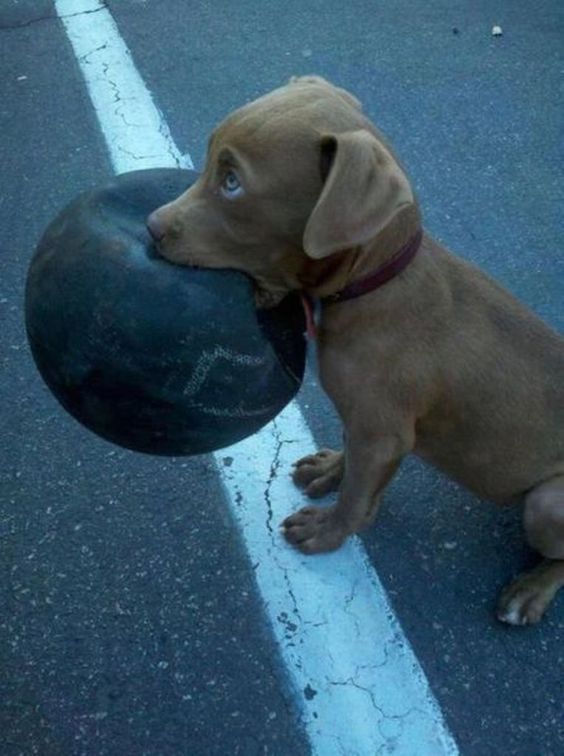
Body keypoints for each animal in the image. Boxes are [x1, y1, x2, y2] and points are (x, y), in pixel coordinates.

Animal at [148, 75, 564, 628]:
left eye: (232, 182)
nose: (151, 226)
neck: (375, 283)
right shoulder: (368, 425)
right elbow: (352, 462)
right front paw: (329, 471)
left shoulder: (384, 433)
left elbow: (357, 500)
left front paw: (327, 532)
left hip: (547, 502)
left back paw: (530, 591)